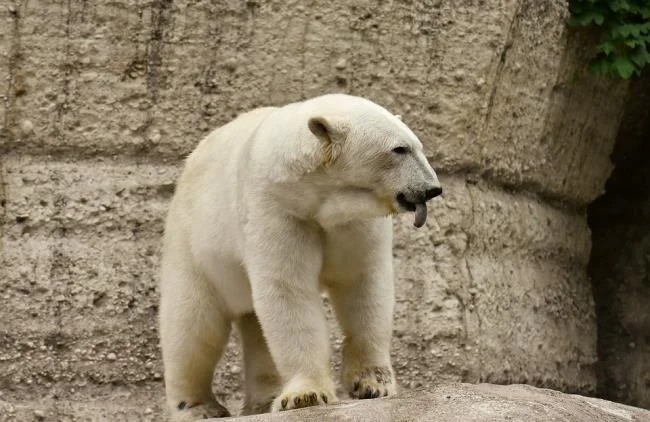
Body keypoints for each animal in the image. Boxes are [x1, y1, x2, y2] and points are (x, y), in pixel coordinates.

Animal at [158, 93, 442, 421]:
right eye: (399, 149)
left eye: (419, 146)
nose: (433, 189)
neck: (313, 194)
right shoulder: (276, 209)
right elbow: (288, 290)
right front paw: (306, 395)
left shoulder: (355, 221)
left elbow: (362, 283)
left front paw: (373, 384)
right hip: (194, 245)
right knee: (192, 325)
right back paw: (199, 407)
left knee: (253, 327)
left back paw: (262, 400)